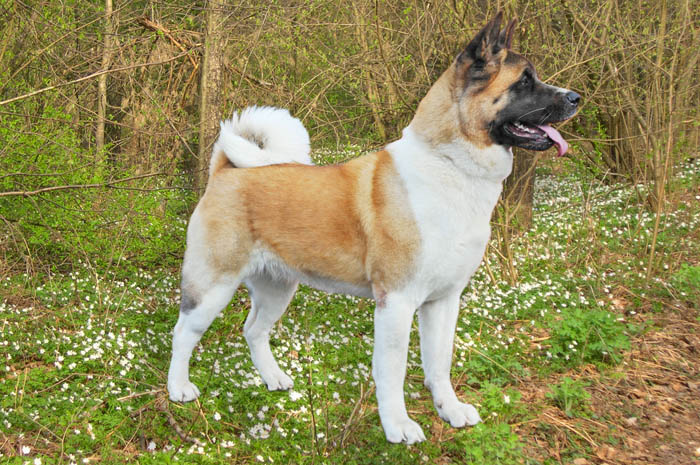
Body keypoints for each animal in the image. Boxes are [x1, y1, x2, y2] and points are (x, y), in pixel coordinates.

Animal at [168, 13, 580, 442]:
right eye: (524, 82)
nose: (575, 98)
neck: (449, 165)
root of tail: (225, 171)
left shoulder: (444, 301)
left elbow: (439, 363)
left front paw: (449, 410)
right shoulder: (396, 302)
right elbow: (392, 372)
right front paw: (398, 425)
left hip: (278, 287)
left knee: (253, 330)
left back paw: (274, 378)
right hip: (212, 287)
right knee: (183, 333)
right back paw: (178, 389)